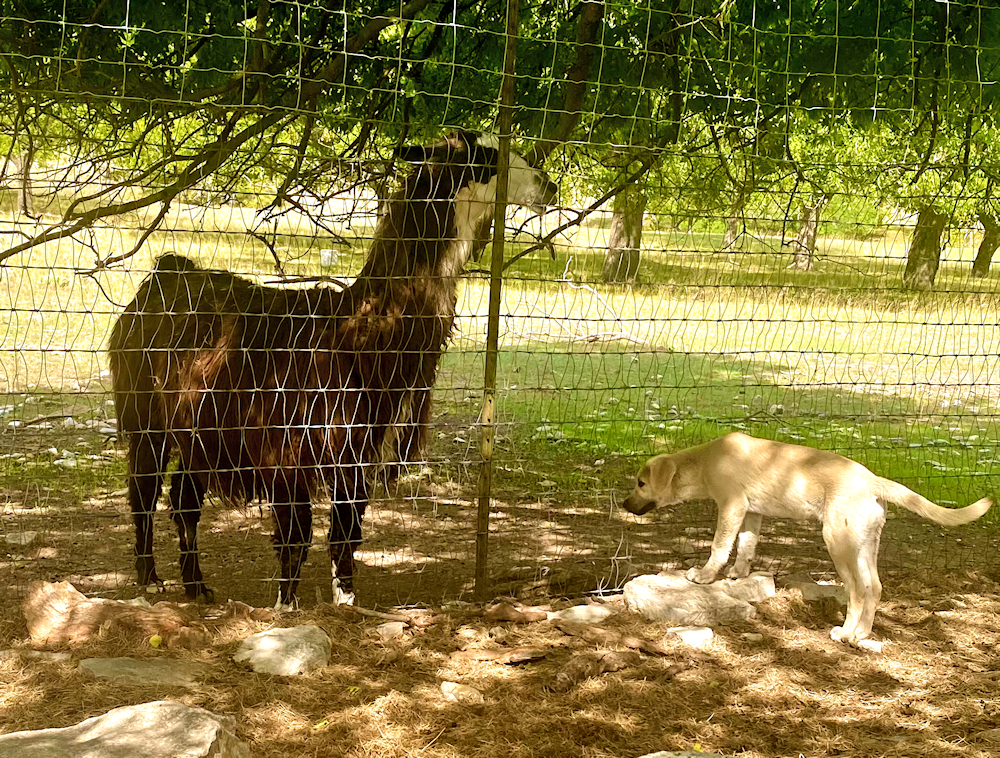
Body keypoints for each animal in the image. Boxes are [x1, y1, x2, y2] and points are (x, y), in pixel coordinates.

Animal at [111, 131, 564, 604]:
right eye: (487, 159)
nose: (549, 187)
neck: (358, 333)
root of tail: (165, 272)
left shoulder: (360, 447)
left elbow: (347, 528)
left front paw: (345, 600)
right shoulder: (289, 448)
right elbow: (296, 536)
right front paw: (285, 607)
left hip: (199, 427)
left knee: (184, 499)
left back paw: (196, 586)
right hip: (145, 414)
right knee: (144, 492)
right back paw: (150, 578)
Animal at [624, 434, 992, 648]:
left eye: (641, 483)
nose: (625, 505)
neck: (705, 461)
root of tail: (873, 480)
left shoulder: (731, 506)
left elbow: (720, 544)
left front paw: (705, 575)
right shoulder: (751, 513)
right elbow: (746, 545)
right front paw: (739, 573)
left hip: (838, 541)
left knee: (857, 591)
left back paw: (845, 633)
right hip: (864, 545)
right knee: (874, 587)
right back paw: (862, 634)